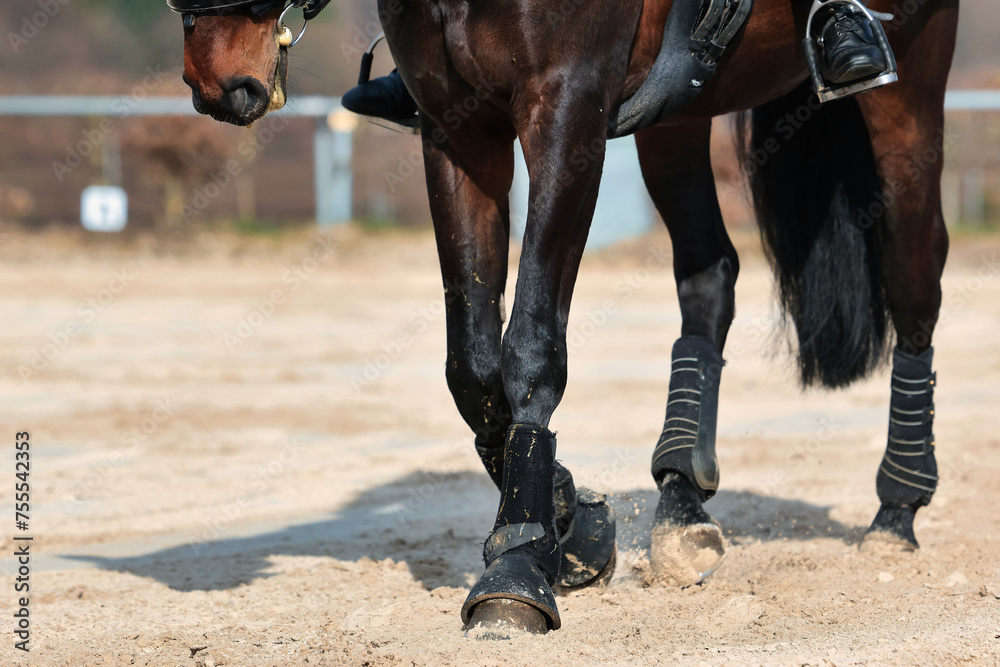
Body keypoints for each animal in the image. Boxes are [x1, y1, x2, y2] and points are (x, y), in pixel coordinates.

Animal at [171, 0, 959, 637]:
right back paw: (681, 500)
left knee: (915, 275)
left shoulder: (567, 107)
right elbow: (473, 365)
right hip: (680, 110)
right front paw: (572, 524)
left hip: (909, 84)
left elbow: (529, 344)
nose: (218, 81)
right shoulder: (456, 126)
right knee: (709, 273)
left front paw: (517, 566)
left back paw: (898, 509)